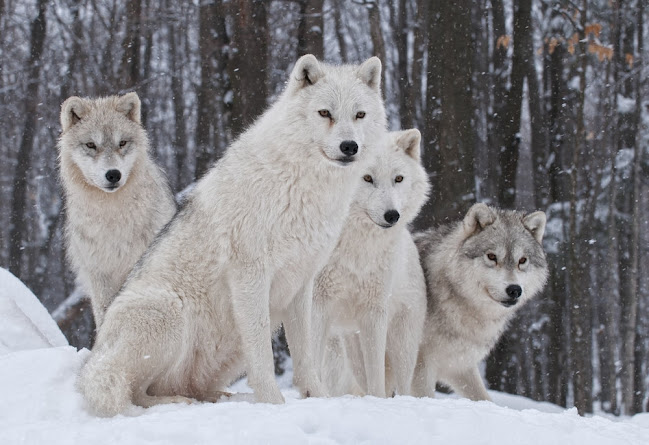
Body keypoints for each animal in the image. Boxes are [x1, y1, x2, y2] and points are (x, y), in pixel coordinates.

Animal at [78, 53, 388, 414]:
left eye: (359, 114)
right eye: (325, 113)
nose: (349, 146)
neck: (302, 186)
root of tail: (94, 358)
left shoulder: (302, 283)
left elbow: (305, 355)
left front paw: (318, 397)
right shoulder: (250, 275)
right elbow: (263, 355)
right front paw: (273, 404)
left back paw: (218, 398)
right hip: (169, 311)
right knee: (135, 392)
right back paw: (178, 402)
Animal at [314, 127, 430, 396]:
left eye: (398, 179)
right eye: (366, 178)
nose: (392, 216)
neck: (355, 248)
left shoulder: (374, 312)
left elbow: (376, 376)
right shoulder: (317, 304)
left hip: (402, 346)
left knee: (401, 385)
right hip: (346, 349)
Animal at [410, 203, 548, 400]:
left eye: (522, 260)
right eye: (491, 256)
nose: (514, 290)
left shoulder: (459, 366)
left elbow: (484, 399)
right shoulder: (420, 365)